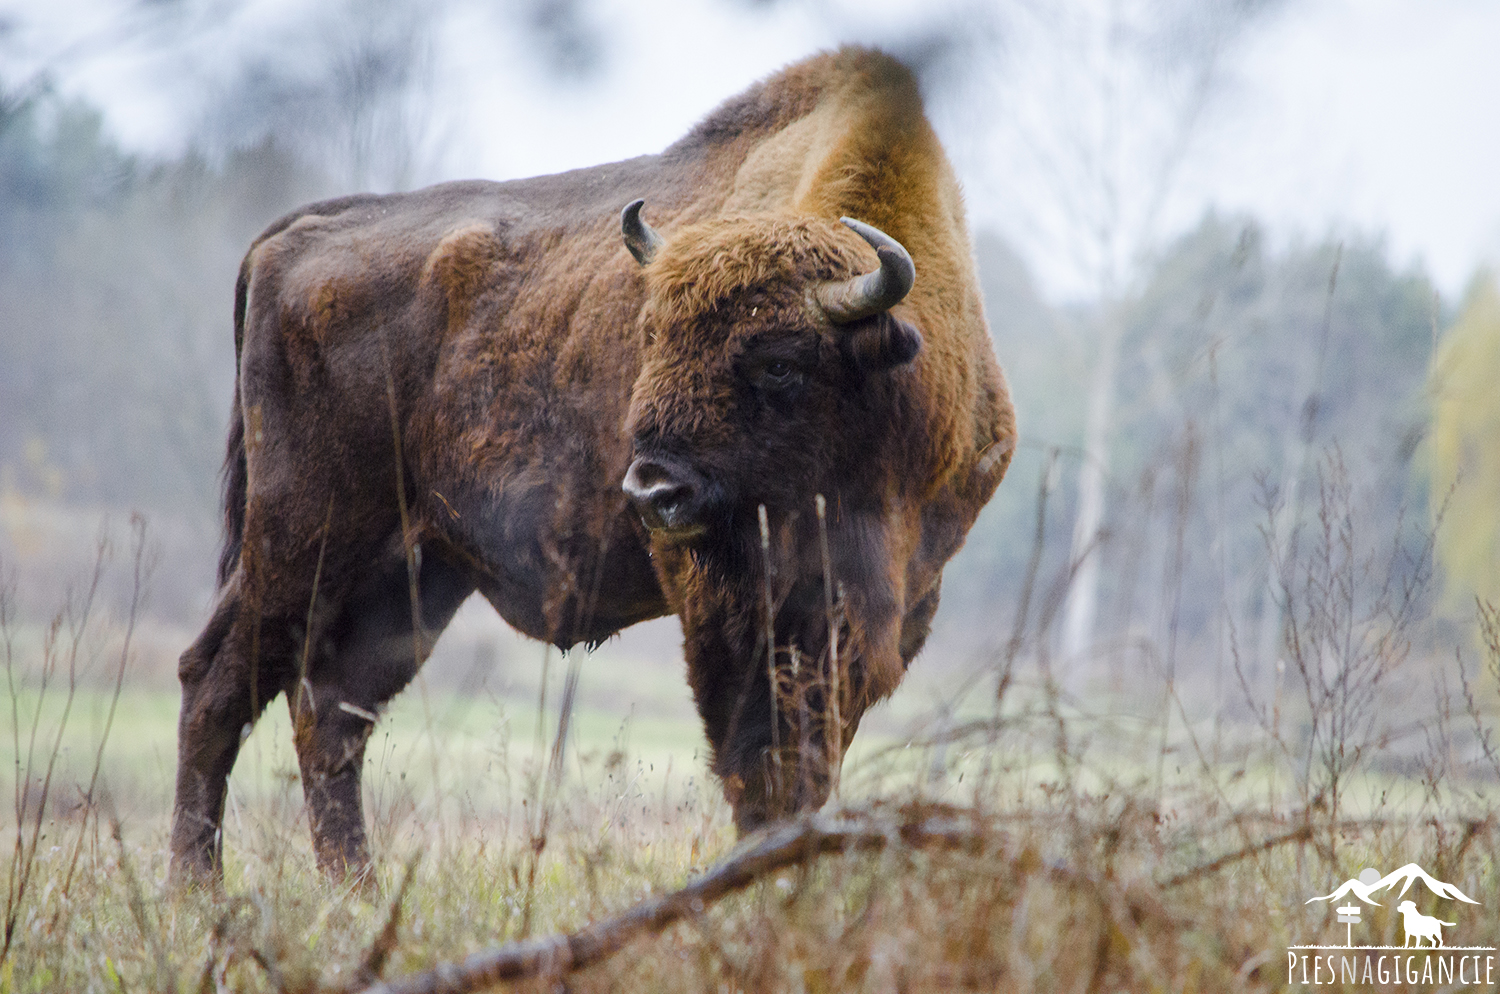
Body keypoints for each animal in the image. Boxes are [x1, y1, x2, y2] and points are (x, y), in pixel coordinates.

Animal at [175, 46, 1020, 887]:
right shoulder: (728, 605)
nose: (652, 490)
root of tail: (296, 235)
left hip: (409, 574)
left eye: (779, 362)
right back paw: (198, 890)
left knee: (331, 712)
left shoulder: (892, 605)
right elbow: (756, 760)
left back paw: (354, 892)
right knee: (216, 686)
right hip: (303, 540)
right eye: (650, 337)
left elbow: (812, 756)